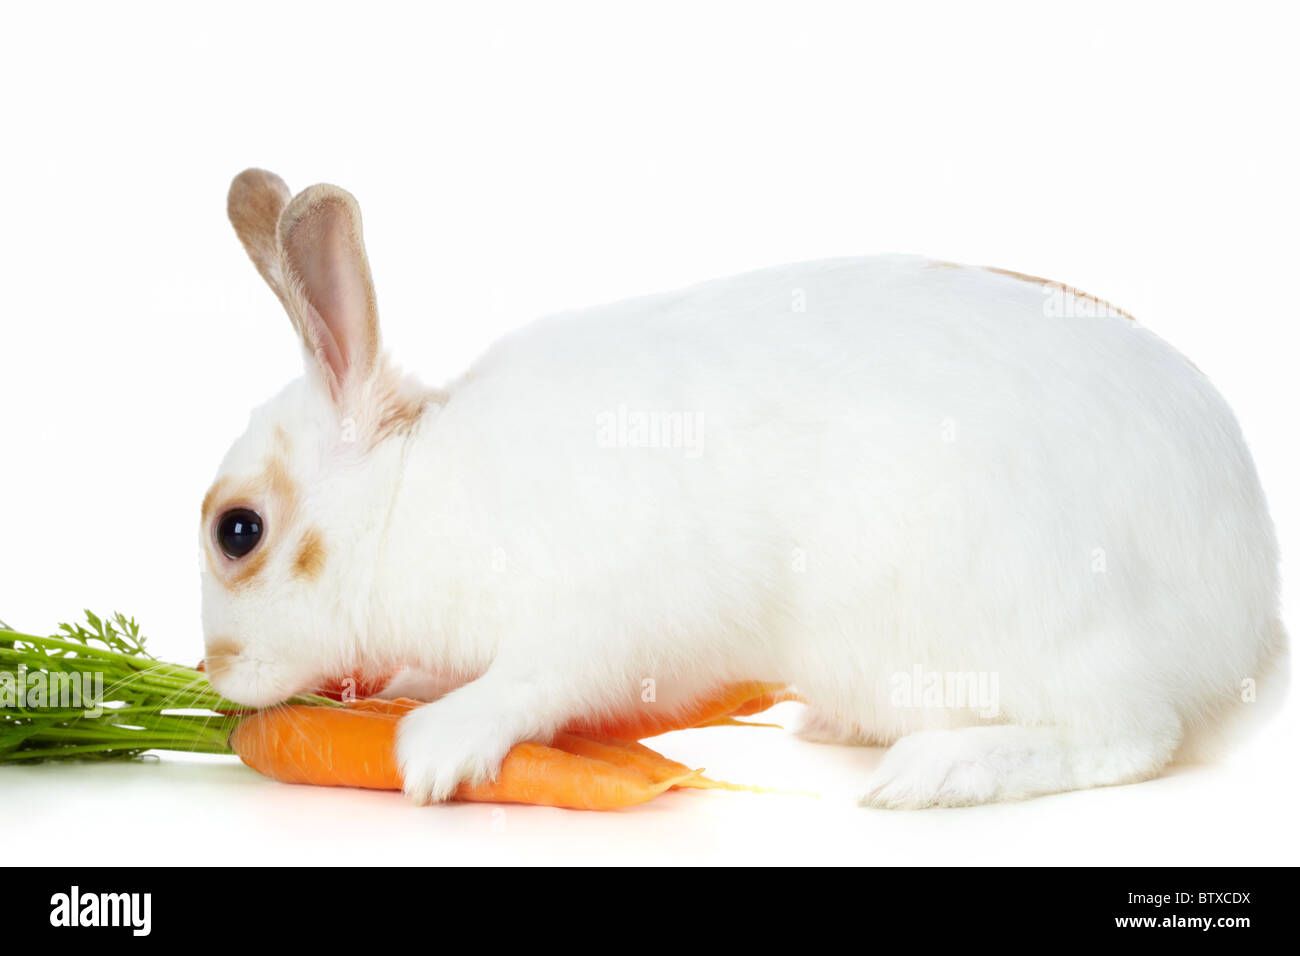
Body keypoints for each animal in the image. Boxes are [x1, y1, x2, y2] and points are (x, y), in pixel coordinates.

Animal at [205, 167, 1289, 806]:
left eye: (238, 530)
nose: (215, 673)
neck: (409, 500)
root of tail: (1248, 622)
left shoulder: (605, 618)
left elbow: (532, 683)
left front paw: (436, 747)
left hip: (1046, 628)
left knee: (1128, 739)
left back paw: (932, 770)